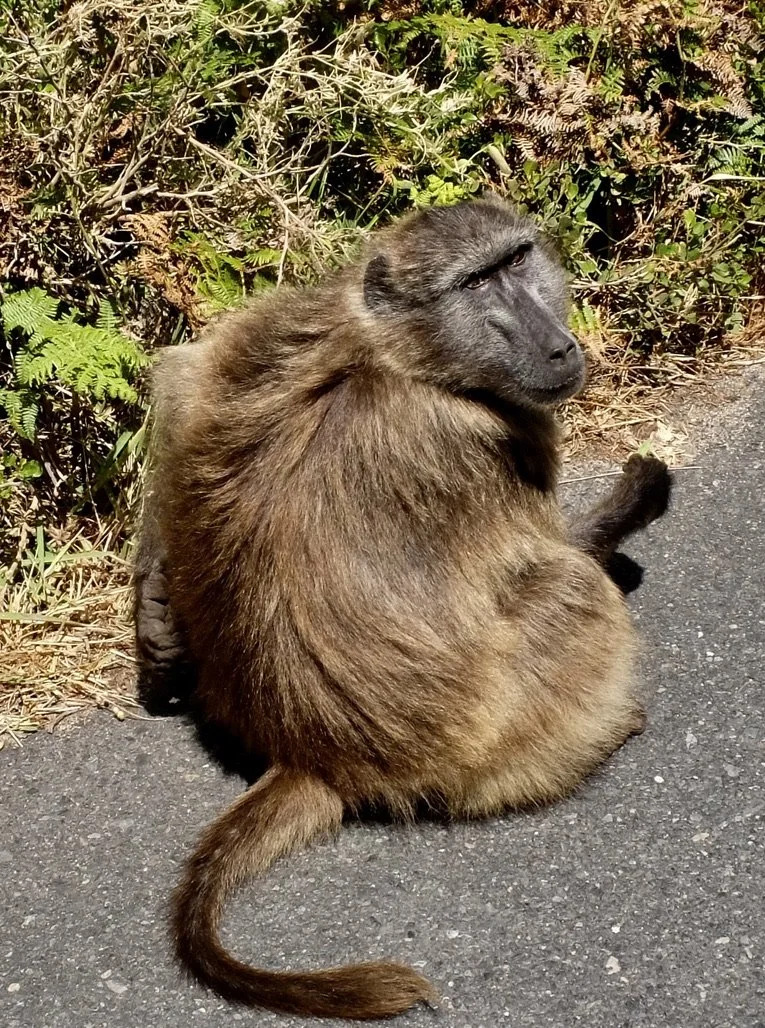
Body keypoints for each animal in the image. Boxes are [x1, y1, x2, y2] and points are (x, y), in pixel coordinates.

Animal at [133, 196, 672, 1020]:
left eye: (516, 260)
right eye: (475, 283)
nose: (557, 347)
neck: (393, 352)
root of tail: (312, 755)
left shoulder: (278, 323)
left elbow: (187, 372)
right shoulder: (489, 440)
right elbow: (556, 552)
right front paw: (636, 496)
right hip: (458, 737)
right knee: (568, 588)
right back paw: (596, 735)